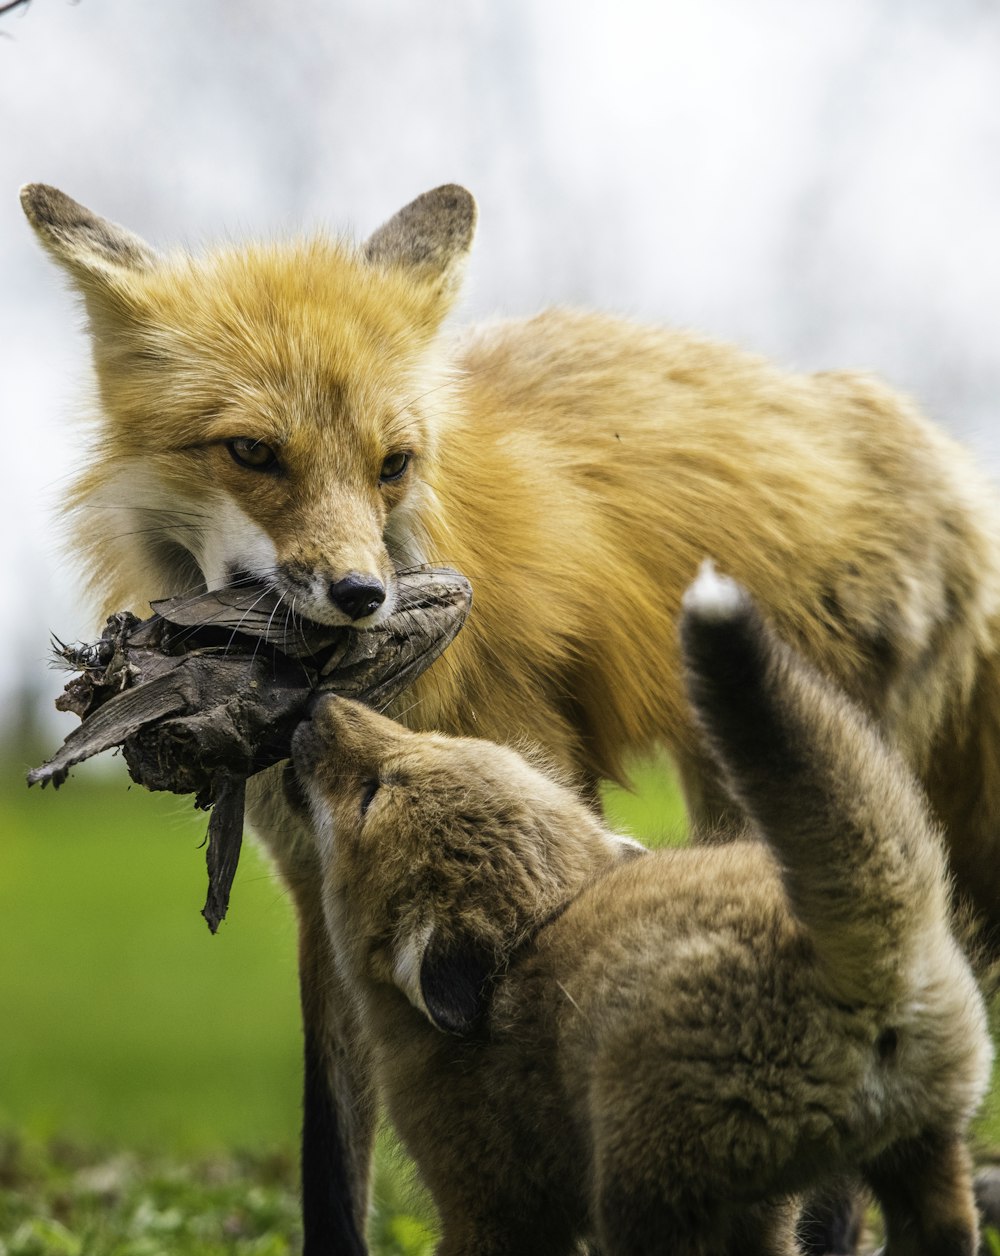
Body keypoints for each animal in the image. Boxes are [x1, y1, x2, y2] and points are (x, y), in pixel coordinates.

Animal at [21, 179, 1000, 1256]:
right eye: (252, 453)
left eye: (392, 464)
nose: (364, 595)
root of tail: (919, 438)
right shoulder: (319, 885)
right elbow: (329, 1159)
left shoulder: (540, 791)